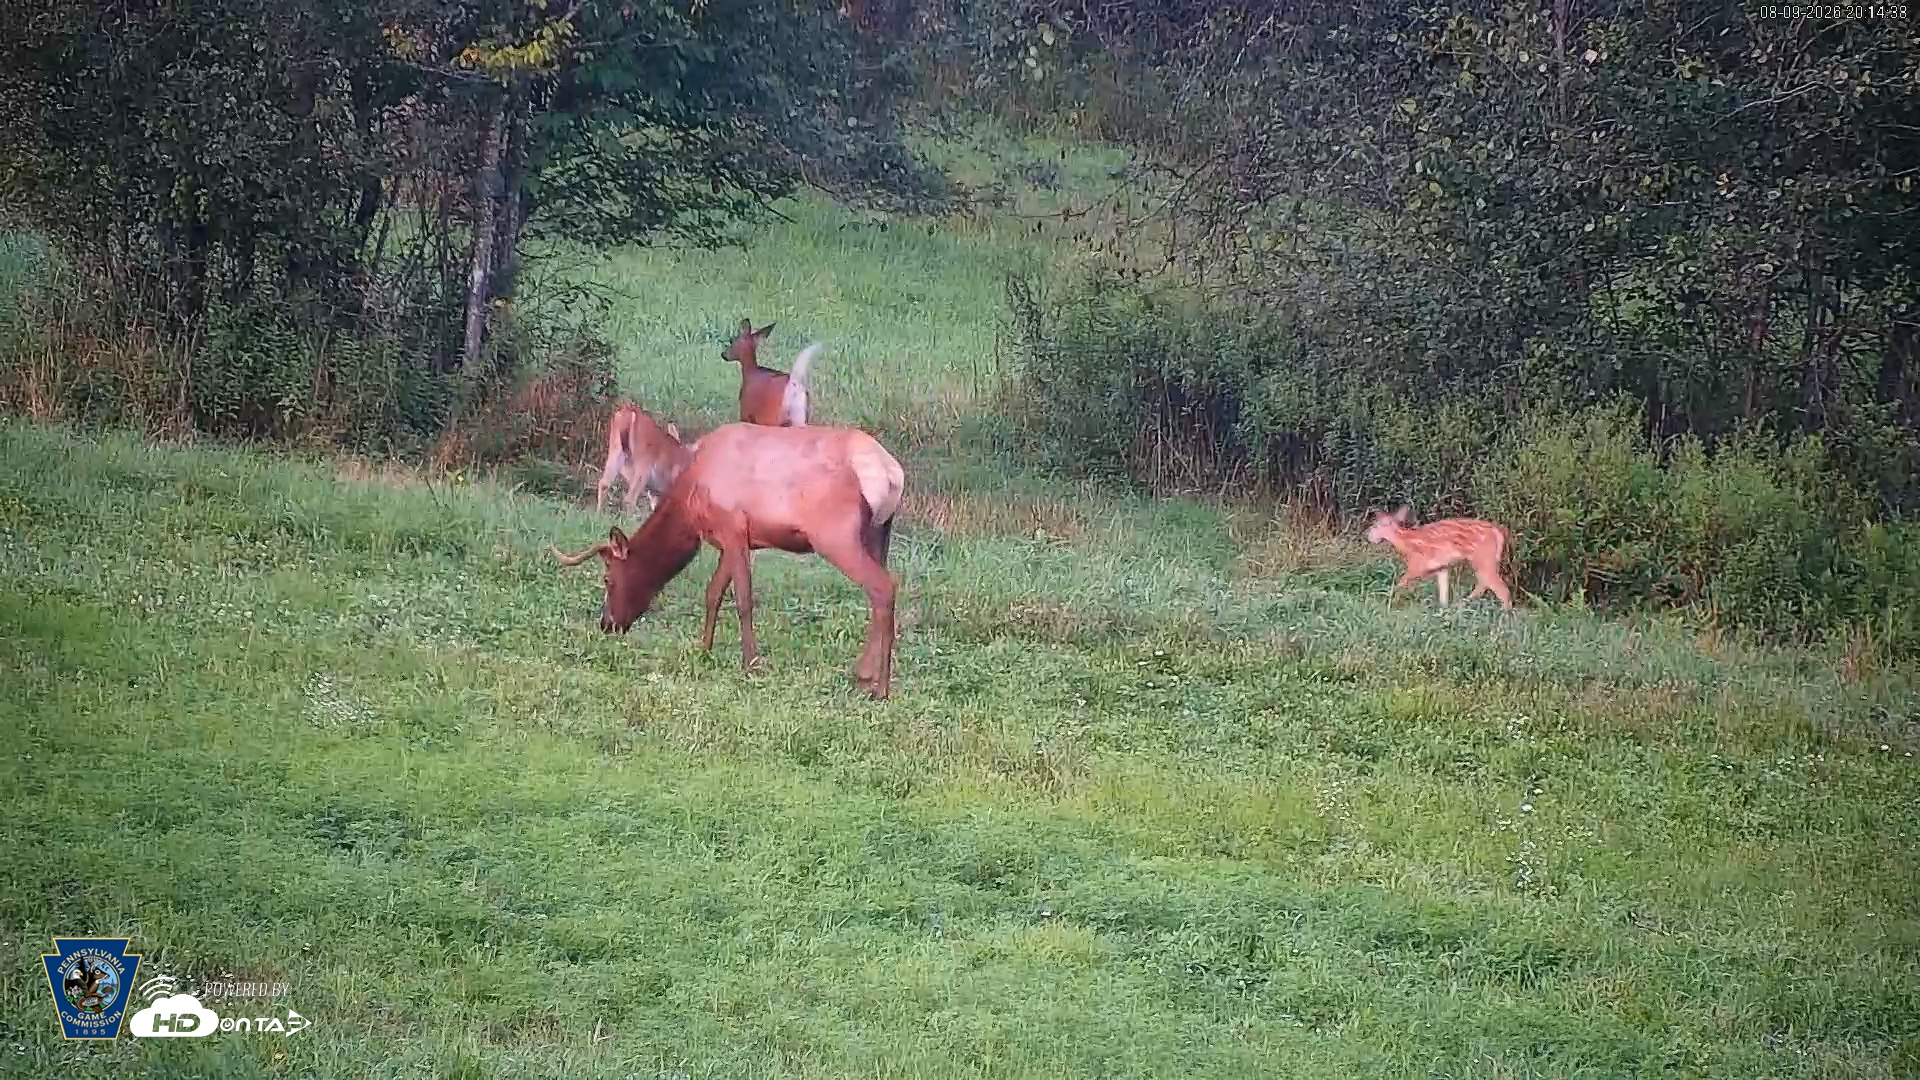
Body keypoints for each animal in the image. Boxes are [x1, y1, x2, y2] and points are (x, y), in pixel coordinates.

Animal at [552, 421, 905, 698]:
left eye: (608, 578)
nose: (607, 623)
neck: (690, 499)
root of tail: (892, 475)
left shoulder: (733, 529)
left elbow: (743, 599)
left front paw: (751, 664)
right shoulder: (729, 540)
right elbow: (713, 593)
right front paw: (703, 648)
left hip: (835, 536)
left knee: (883, 586)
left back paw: (879, 687)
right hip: (878, 534)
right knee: (879, 594)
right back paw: (865, 678)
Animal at [1365, 504, 1515, 610]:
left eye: (1375, 526)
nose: (1369, 537)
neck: (1406, 542)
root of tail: (1499, 533)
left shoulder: (1417, 565)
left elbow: (1401, 582)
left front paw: (1389, 602)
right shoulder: (1442, 566)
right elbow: (1443, 590)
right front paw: (1443, 609)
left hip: (1482, 558)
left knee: (1499, 587)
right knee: (1486, 583)